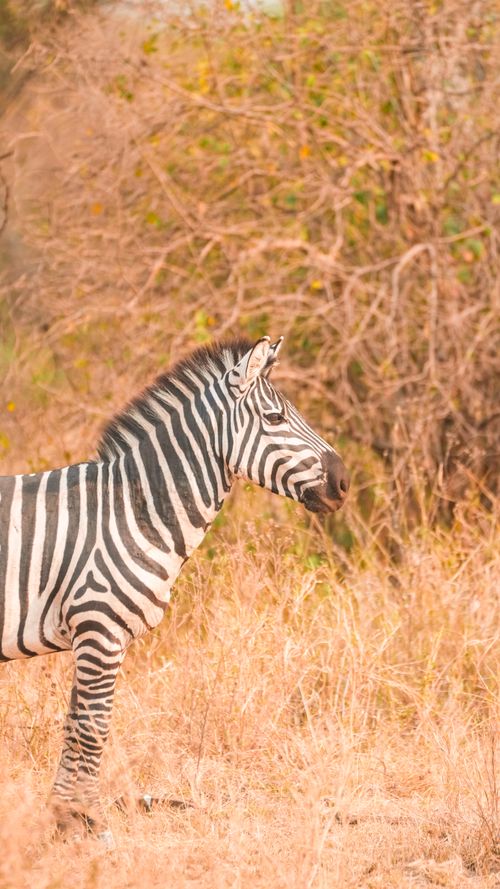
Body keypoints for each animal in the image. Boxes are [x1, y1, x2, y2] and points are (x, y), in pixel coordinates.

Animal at [0, 335, 349, 847]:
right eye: (274, 419)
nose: (344, 483)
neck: (132, 509)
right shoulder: (100, 629)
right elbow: (92, 727)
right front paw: (86, 822)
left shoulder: (94, 636)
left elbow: (76, 722)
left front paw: (69, 818)